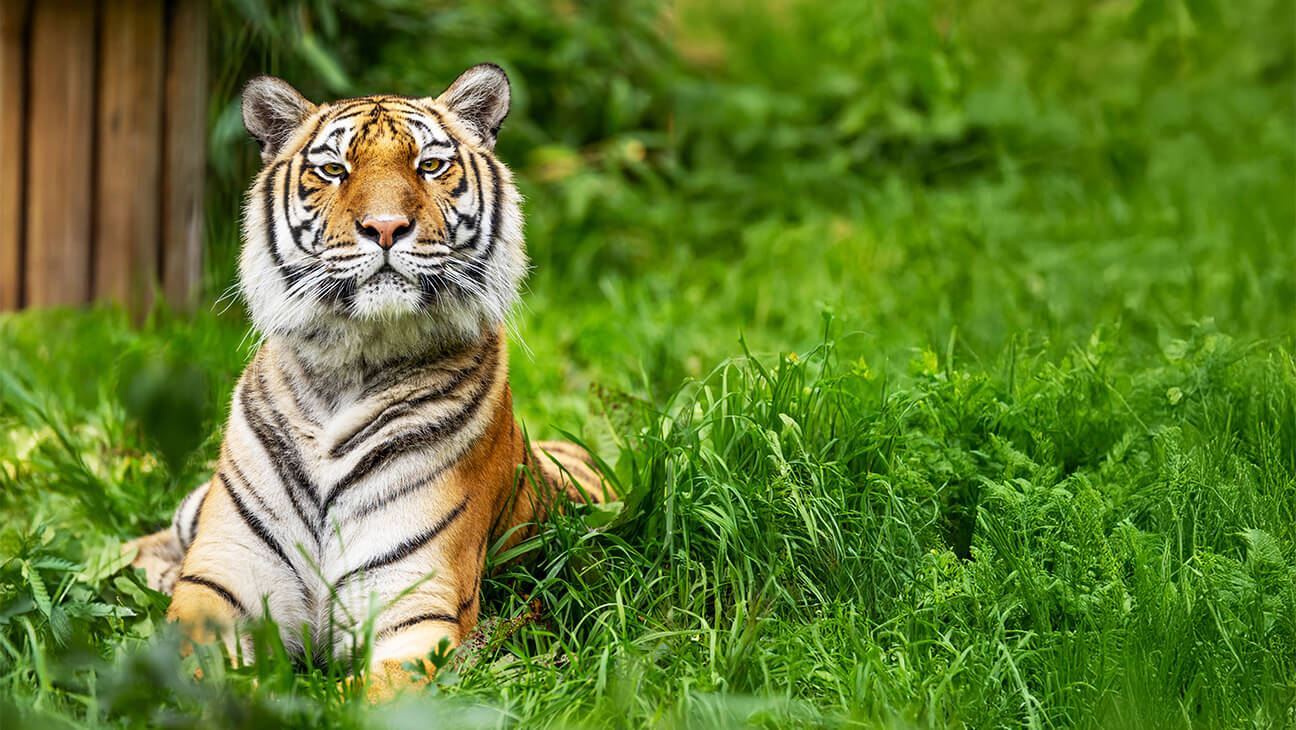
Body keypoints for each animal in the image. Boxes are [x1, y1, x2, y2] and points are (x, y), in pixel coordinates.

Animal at [121, 64, 611, 700]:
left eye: (431, 165)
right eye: (334, 170)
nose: (384, 227)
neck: (351, 364)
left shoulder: (415, 609)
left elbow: (348, 701)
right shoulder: (221, 586)